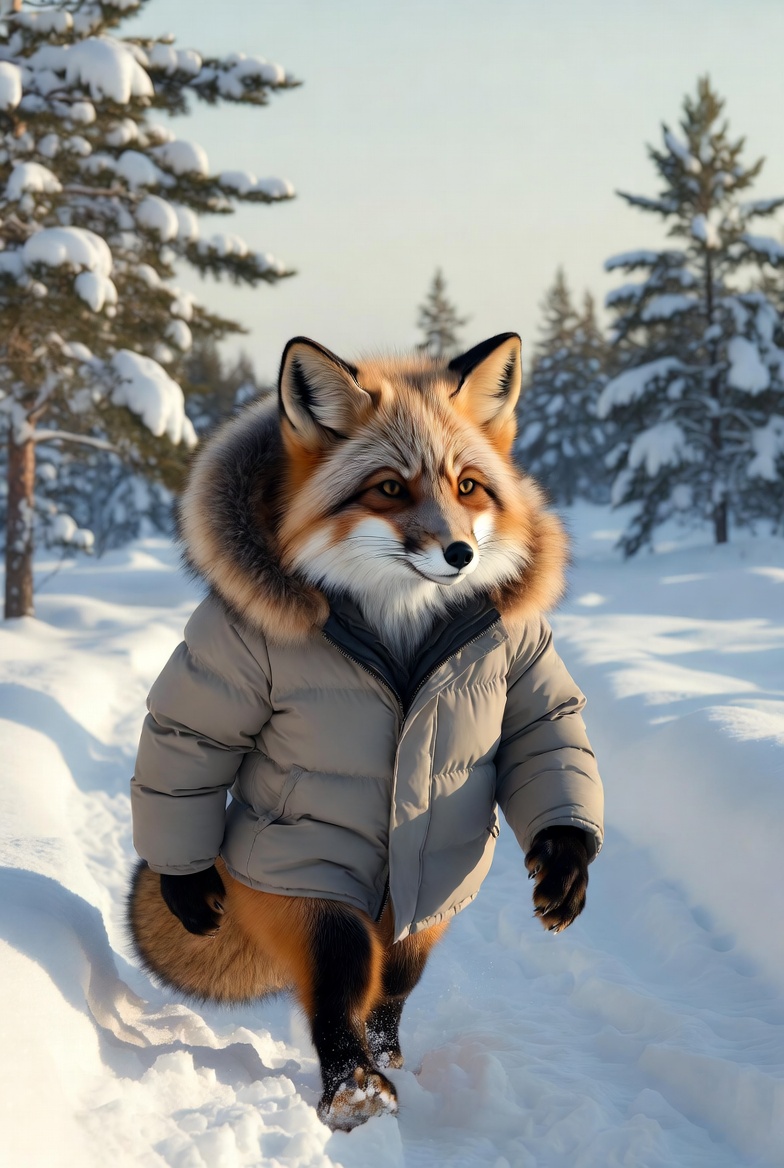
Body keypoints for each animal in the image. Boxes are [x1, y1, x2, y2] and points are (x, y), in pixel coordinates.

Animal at [128, 332, 604, 1131]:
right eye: (389, 489)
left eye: (468, 487)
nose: (460, 554)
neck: (398, 622)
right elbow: (193, 742)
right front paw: (348, 1082)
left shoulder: (521, 654)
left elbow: (544, 730)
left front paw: (565, 861)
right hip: (308, 873)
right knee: (352, 969)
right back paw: (357, 1084)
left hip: (425, 900)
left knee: (395, 982)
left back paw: (385, 1057)